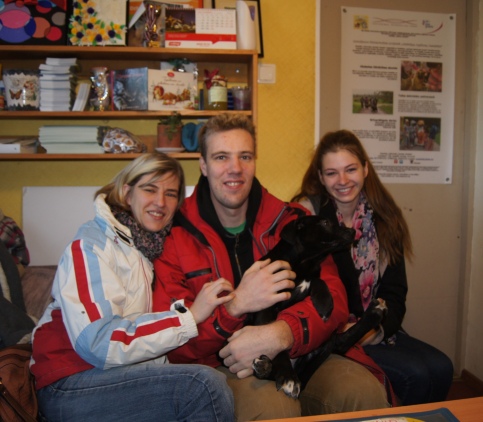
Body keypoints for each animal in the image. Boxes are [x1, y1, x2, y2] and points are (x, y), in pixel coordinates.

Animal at [247, 215, 387, 398]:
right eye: (325, 223)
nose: (352, 231)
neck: (304, 263)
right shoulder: (266, 310)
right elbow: (278, 345)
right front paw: (288, 378)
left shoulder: (312, 275)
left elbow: (318, 280)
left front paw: (324, 302)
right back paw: (267, 368)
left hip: (326, 341)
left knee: (341, 343)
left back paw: (375, 312)